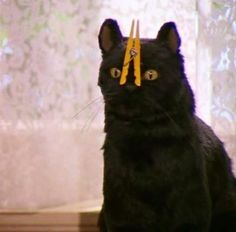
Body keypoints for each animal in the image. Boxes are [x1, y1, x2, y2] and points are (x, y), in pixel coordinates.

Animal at [96, 19, 236, 231]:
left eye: (151, 74)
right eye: (116, 72)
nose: (129, 87)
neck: (143, 137)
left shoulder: (189, 211)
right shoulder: (120, 210)